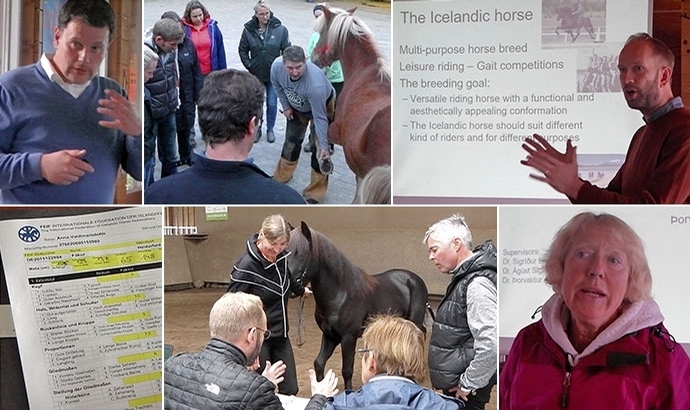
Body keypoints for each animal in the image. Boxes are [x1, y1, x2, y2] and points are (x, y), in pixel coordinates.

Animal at [286, 223, 428, 390]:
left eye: (301, 254)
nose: (289, 287)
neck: (341, 293)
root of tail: (414, 279)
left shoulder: (348, 337)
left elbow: (347, 369)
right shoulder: (330, 336)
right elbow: (319, 363)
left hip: (414, 320)